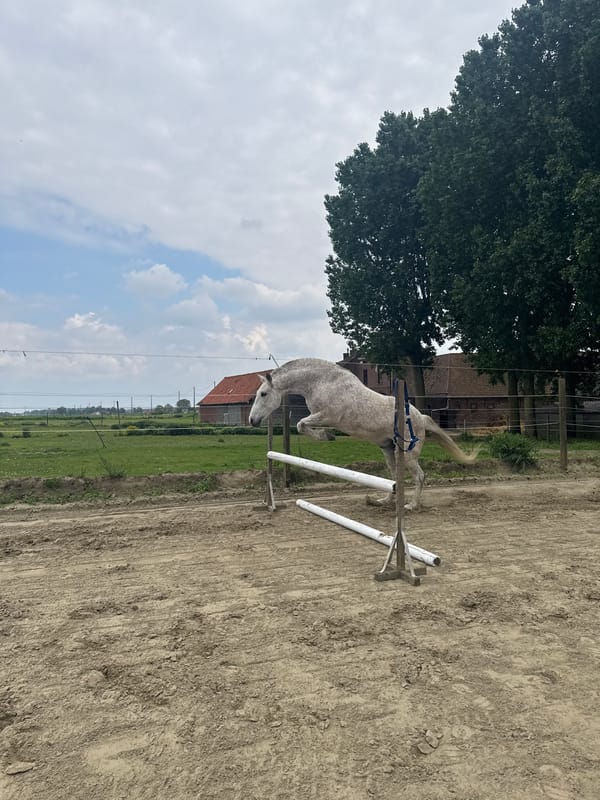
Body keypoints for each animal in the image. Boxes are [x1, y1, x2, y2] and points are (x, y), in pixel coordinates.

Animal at [248, 357, 478, 510]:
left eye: (264, 394)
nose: (252, 421)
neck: (321, 383)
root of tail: (420, 417)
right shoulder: (321, 416)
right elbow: (302, 425)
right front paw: (327, 436)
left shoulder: (327, 416)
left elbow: (300, 425)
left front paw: (326, 436)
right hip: (388, 450)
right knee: (394, 478)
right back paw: (383, 501)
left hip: (408, 453)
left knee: (419, 476)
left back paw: (411, 505)